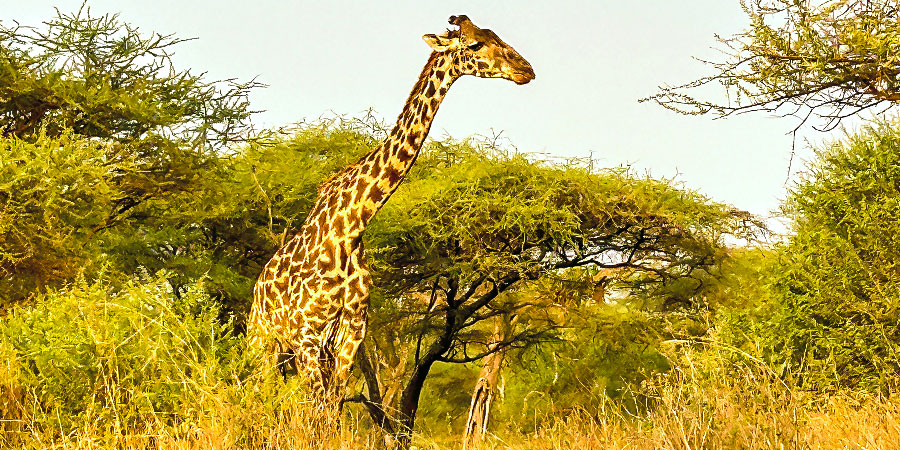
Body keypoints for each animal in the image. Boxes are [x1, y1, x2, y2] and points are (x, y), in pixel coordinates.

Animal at [246, 14, 536, 404]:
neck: (352, 224)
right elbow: (318, 410)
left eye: (497, 35)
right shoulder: (309, 334)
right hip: (263, 339)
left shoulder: (351, 334)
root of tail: (256, 290)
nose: (525, 69)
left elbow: (333, 407)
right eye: (475, 44)